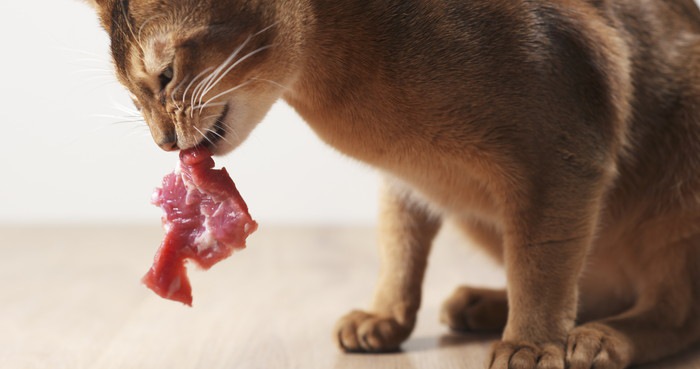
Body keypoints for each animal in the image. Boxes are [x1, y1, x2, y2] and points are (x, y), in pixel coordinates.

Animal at [80, 0, 700, 368]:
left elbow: (543, 267)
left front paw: (531, 341)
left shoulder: (567, 148)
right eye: (133, 97)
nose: (163, 141)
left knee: (675, 312)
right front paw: (385, 316)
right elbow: (398, 248)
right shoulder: (405, 182)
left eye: (165, 76)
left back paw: (598, 338)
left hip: (679, 166)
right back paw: (482, 303)